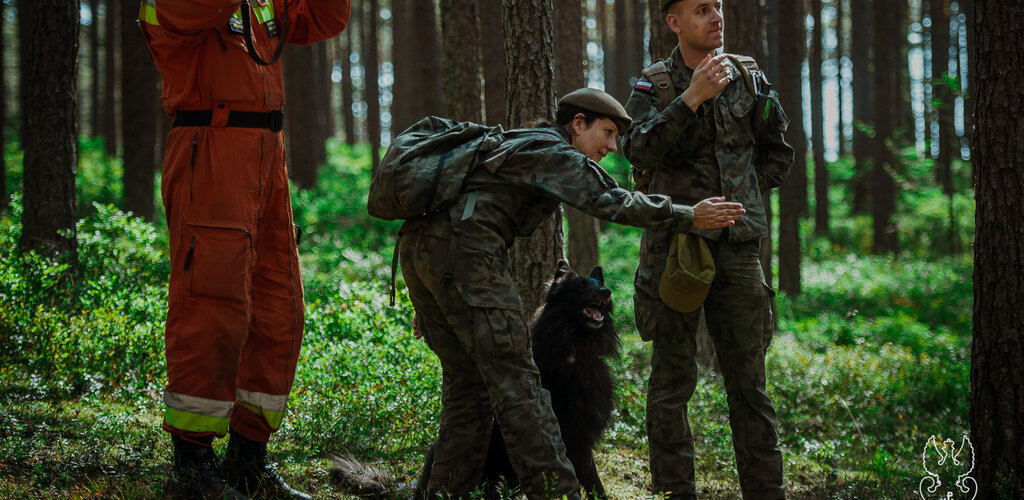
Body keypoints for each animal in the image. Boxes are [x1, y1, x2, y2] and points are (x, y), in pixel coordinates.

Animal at [415, 260, 614, 497]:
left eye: (598, 283)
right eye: (581, 285)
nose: (606, 291)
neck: (575, 350)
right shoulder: (576, 440)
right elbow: (592, 484)